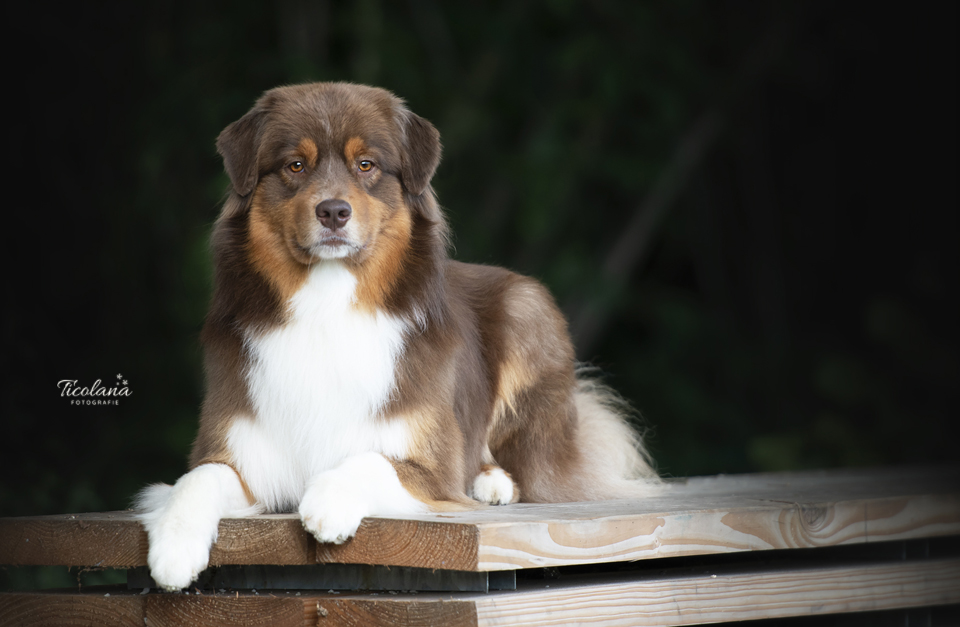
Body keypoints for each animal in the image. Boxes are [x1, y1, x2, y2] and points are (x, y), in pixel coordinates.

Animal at [135, 81, 660, 592]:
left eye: (366, 164)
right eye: (295, 165)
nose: (333, 212)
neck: (327, 302)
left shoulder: (433, 466)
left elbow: (371, 460)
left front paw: (327, 501)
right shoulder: (241, 448)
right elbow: (196, 479)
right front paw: (173, 549)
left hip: (528, 309)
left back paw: (494, 482)